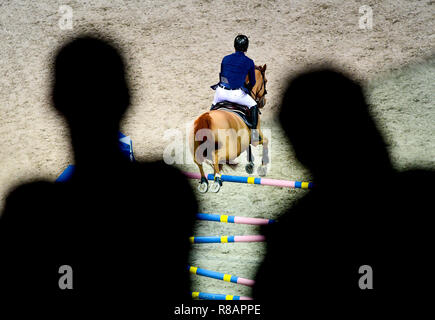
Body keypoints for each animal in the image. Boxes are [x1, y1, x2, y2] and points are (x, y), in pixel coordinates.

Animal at [190, 63, 270, 191]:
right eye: (265, 80)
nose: (263, 102)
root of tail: (206, 118)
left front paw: (250, 164)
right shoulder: (256, 135)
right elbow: (265, 141)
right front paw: (262, 167)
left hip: (198, 147)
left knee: (198, 161)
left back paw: (204, 181)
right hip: (232, 150)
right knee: (216, 156)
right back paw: (217, 180)